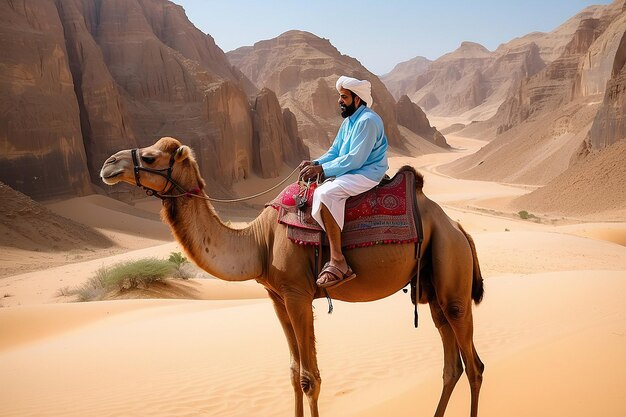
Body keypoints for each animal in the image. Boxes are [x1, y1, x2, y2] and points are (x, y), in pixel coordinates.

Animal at [100, 137, 486, 416]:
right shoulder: (277, 297)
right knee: (451, 365)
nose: (108, 164)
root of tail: (457, 226)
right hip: (431, 286)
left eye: (150, 158)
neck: (259, 242)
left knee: (474, 364)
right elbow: (292, 372)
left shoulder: (299, 295)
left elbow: (309, 377)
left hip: (451, 267)